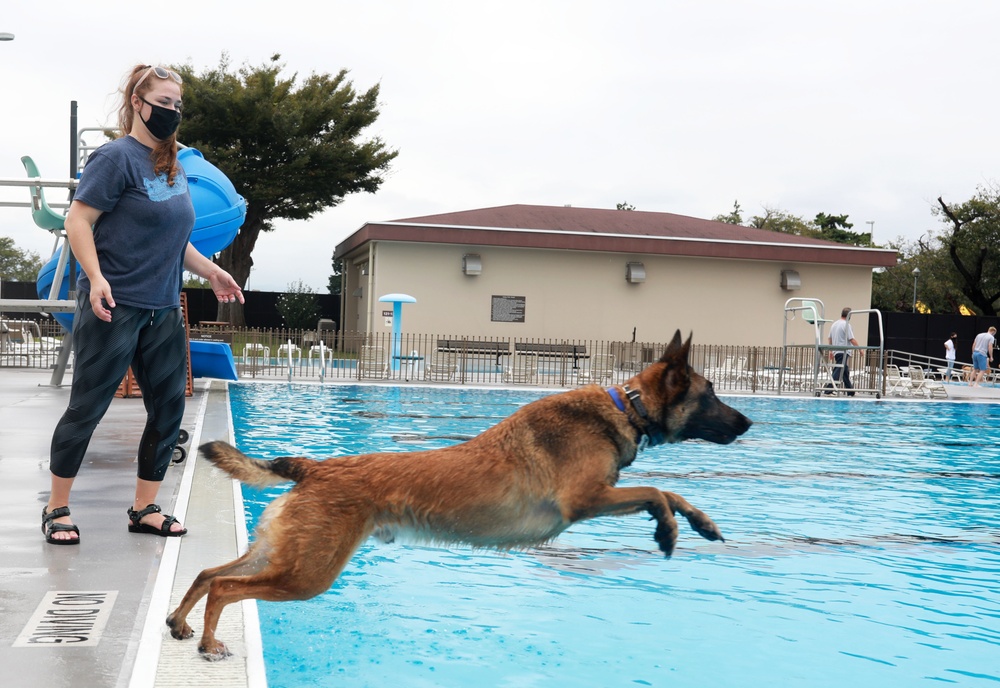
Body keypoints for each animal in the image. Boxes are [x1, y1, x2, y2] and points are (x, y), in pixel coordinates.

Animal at [168, 334, 752, 660]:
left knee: (210, 574)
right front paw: (670, 528)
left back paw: (180, 623)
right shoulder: (587, 500)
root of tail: (313, 467)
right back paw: (208, 642)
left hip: (284, 553)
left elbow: (668, 490)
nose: (748, 423)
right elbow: (657, 491)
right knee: (225, 587)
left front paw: (699, 523)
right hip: (306, 574)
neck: (624, 406)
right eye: (711, 396)